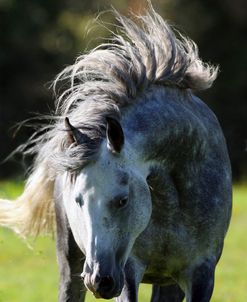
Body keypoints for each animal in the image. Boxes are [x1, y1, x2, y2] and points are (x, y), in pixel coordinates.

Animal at [0, 4, 232, 302]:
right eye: (78, 200)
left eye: (123, 200)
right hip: (72, 263)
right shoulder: (129, 271)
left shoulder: (201, 274)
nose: (100, 280)